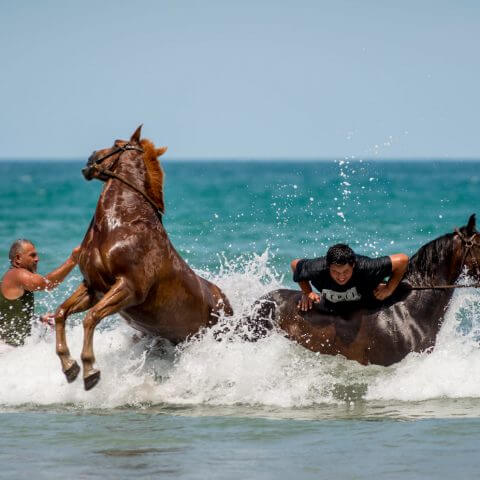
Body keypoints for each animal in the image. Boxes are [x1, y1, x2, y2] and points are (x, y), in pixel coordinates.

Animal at [54, 126, 232, 390]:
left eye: (116, 143)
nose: (89, 160)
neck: (122, 225)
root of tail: (227, 304)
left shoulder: (128, 287)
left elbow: (91, 318)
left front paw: (90, 371)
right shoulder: (93, 288)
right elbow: (61, 313)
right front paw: (69, 366)